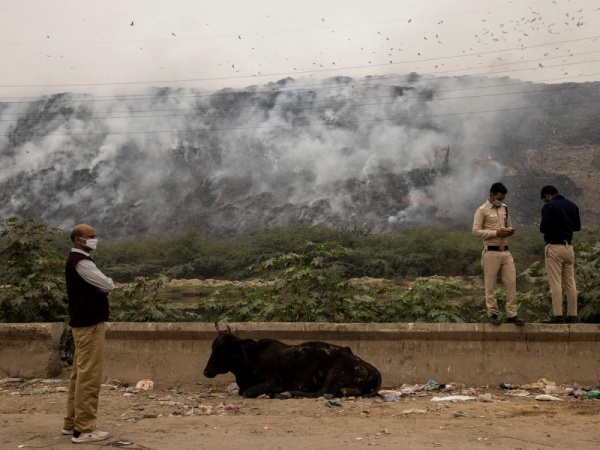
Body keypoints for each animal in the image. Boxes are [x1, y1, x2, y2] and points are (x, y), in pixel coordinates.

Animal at [204, 326, 382, 398]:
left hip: (336, 372)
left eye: (225, 349)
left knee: (323, 392)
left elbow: (247, 392)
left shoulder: (273, 383)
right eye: (213, 346)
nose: (206, 371)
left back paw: (288, 393)